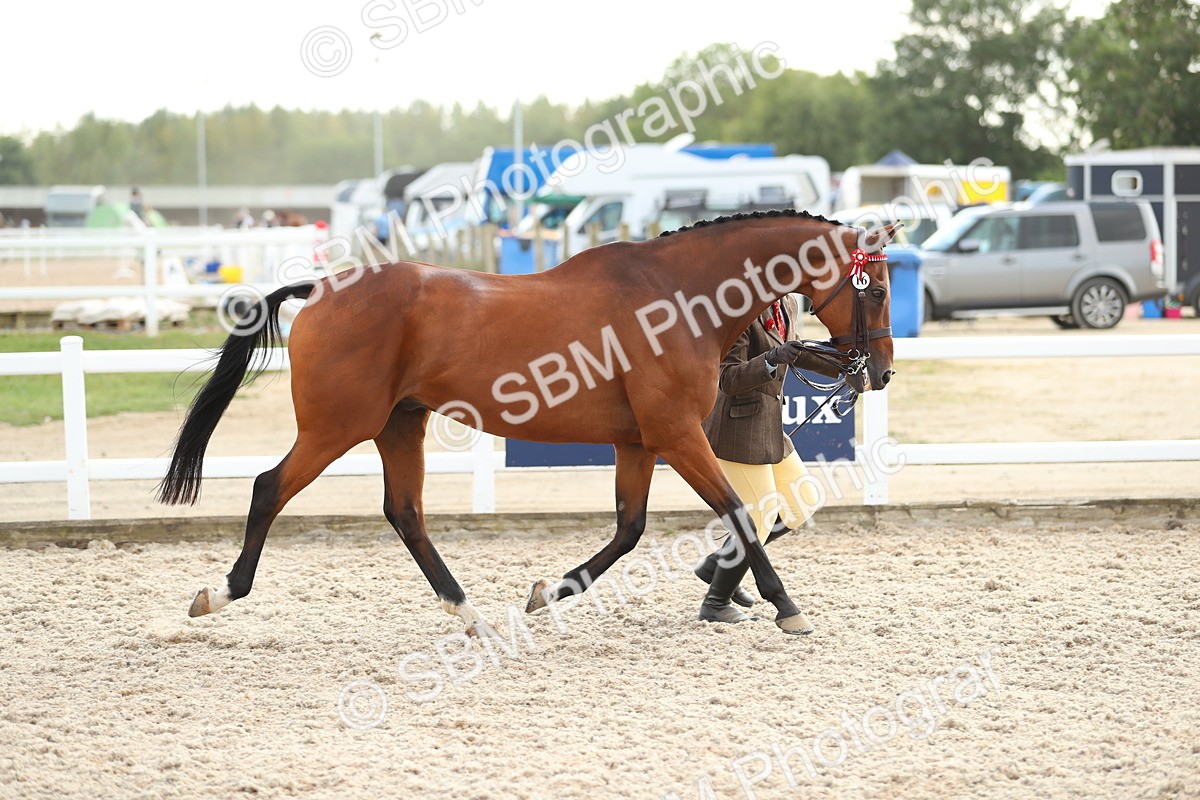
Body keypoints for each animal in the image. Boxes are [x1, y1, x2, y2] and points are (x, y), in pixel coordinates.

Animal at [160, 209, 898, 637]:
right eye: (882, 288)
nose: (880, 370)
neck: (675, 299)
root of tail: (324, 288)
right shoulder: (676, 435)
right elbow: (739, 516)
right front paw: (787, 609)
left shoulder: (638, 441)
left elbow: (629, 530)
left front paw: (548, 592)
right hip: (336, 427)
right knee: (269, 489)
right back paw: (215, 596)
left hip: (400, 424)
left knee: (405, 512)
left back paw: (469, 615)